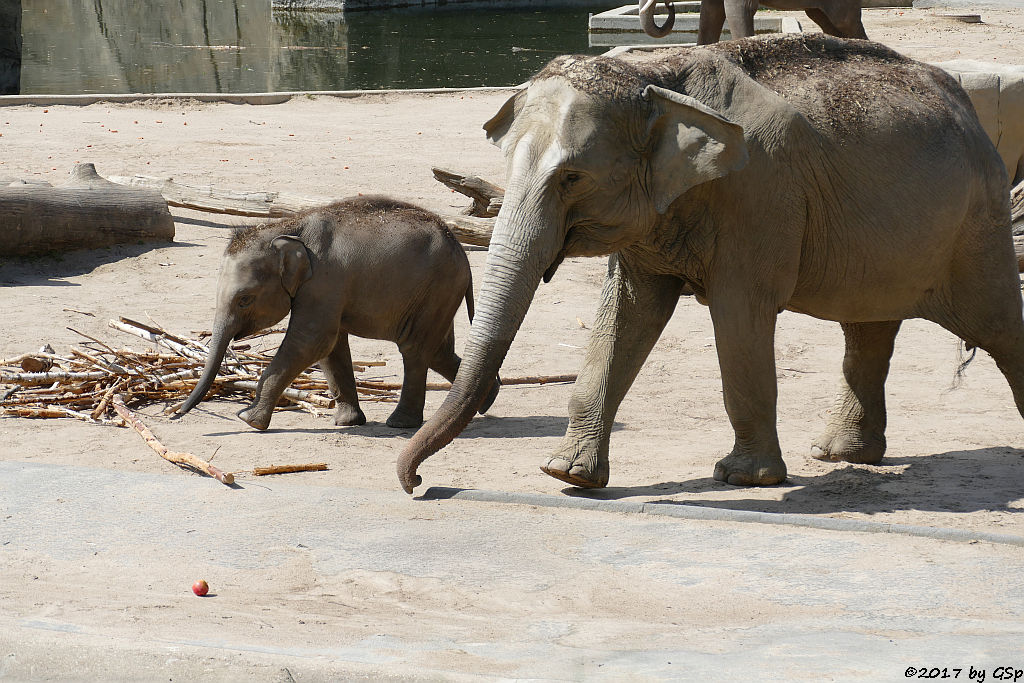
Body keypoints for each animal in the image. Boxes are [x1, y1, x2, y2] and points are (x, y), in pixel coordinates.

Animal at [176, 194, 499, 428]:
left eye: (244, 299)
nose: (174, 414)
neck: (287, 227)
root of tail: (459, 247)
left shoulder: (324, 282)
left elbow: (313, 341)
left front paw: (248, 420)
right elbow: (332, 347)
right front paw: (347, 422)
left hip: (437, 288)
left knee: (414, 348)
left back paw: (401, 424)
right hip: (438, 294)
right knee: (437, 350)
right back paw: (486, 398)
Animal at [393, 34, 1024, 493]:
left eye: (573, 178)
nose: (417, 483)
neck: (657, 78)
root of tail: (964, 104)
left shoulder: (760, 197)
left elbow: (739, 315)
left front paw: (744, 479)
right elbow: (627, 315)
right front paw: (567, 474)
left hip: (977, 226)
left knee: (997, 326)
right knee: (869, 327)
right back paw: (839, 454)